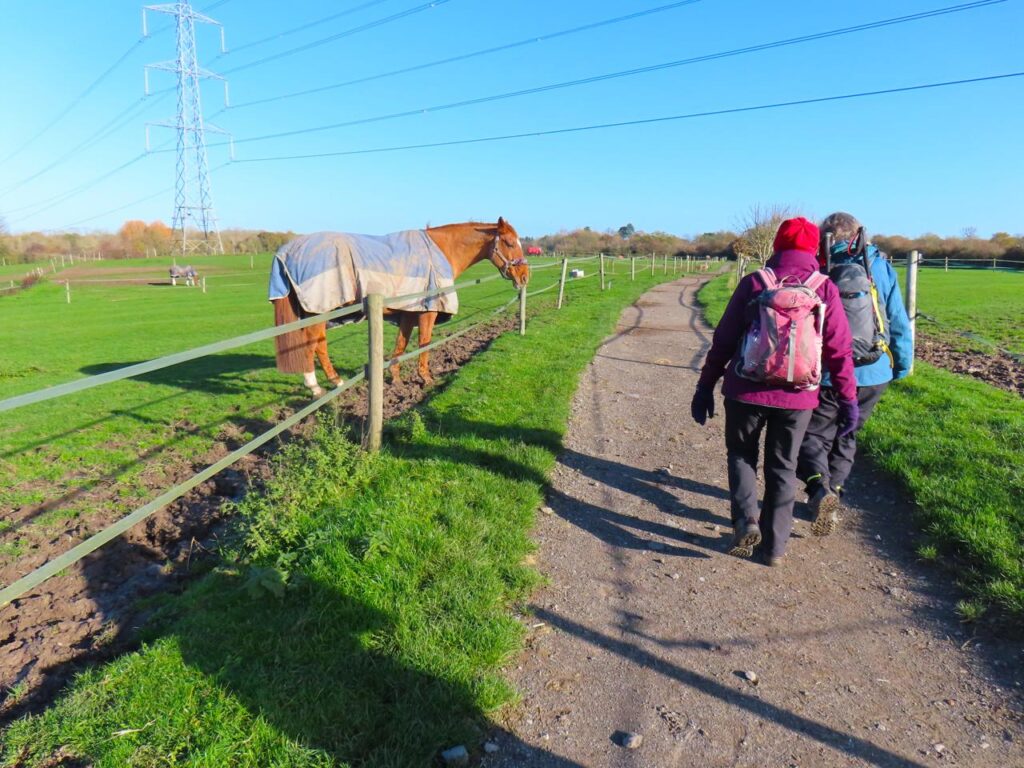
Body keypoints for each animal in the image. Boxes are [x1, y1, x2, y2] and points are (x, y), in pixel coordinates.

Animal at [270, 218, 529, 396]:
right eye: (509, 242)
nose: (525, 276)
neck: (440, 250)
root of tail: (285, 251)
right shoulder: (427, 312)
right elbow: (424, 343)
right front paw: (425, 377)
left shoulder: (408, 314)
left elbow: (400, 345)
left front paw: (395, 378)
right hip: (318, 312)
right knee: (314, 345)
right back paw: (322, 385)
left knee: (315, 345)